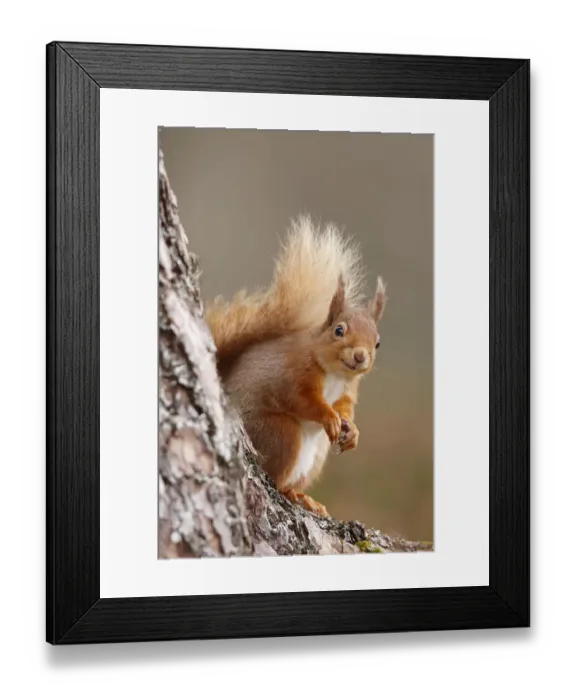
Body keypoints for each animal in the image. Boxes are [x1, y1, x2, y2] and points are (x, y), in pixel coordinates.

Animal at [205, 215, 387, 518]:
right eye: (339, 330)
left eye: (378, 343)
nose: (361, 356)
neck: (335, 373)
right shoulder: (294, 373)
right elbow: (302, 400)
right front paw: (328, 416)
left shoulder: (348, 388)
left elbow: (345, 407)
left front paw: (352, 431)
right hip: (281, 434)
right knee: (276, 479)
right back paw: (288, 491)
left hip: (317, 454)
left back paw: (305, 497)